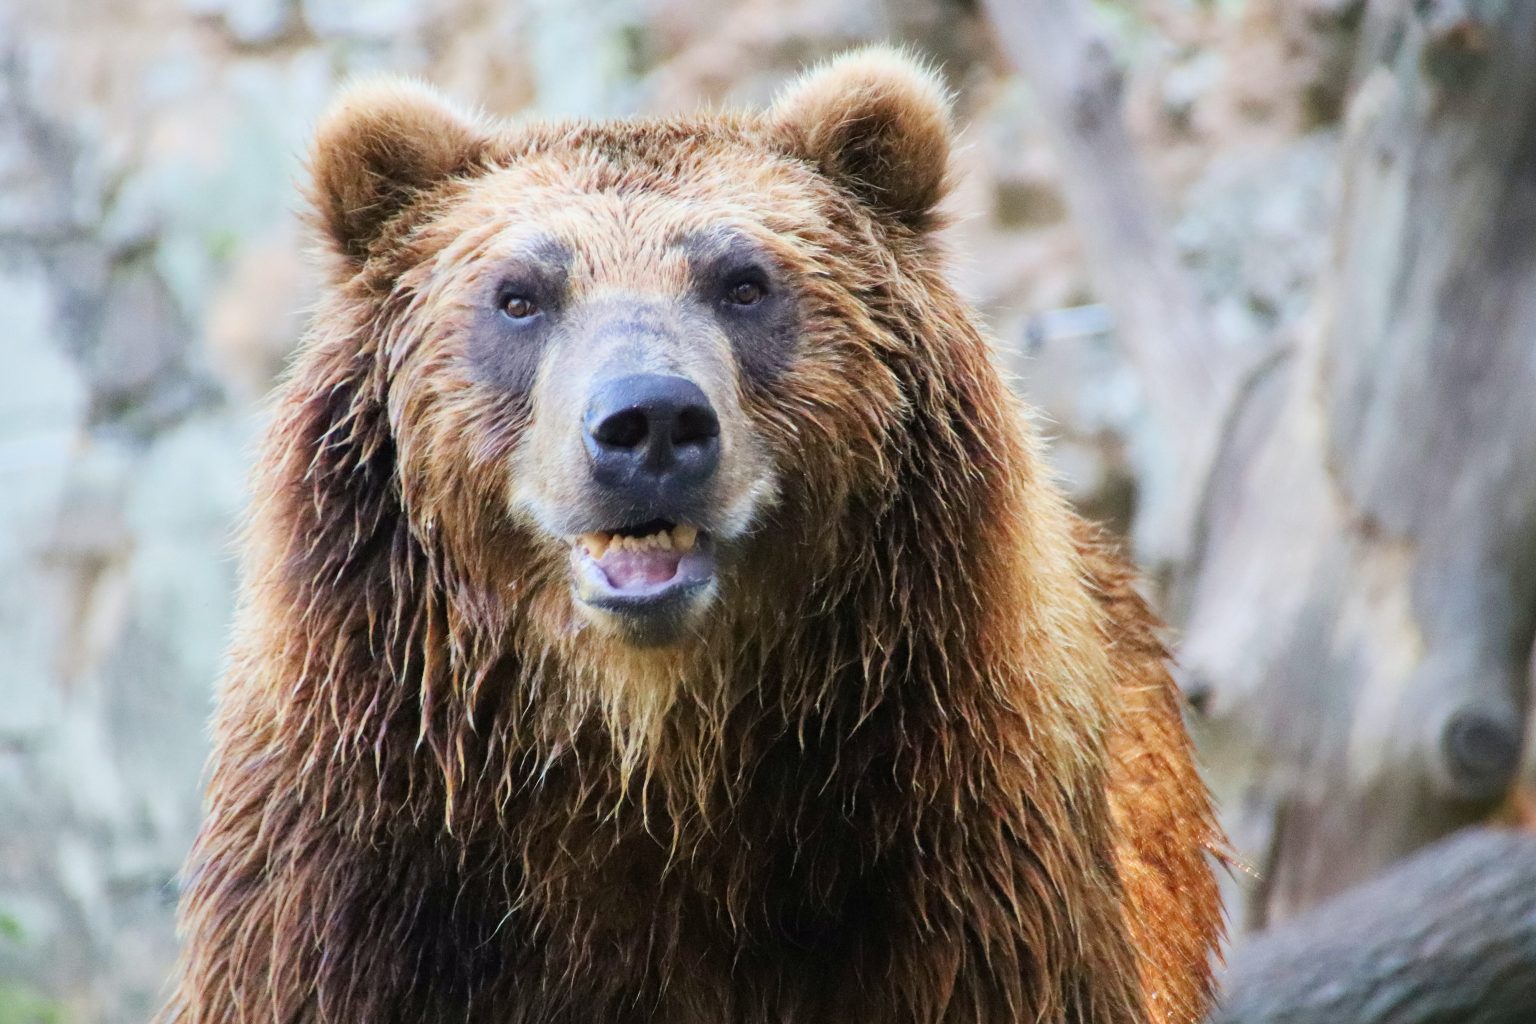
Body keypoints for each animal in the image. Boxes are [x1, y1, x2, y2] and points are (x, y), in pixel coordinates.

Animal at [162, 47, 1216, 1024]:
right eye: (520, 294)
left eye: (744, 283)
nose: (650, 422)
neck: (652, 748)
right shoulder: (353, 884)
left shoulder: (958, 876)